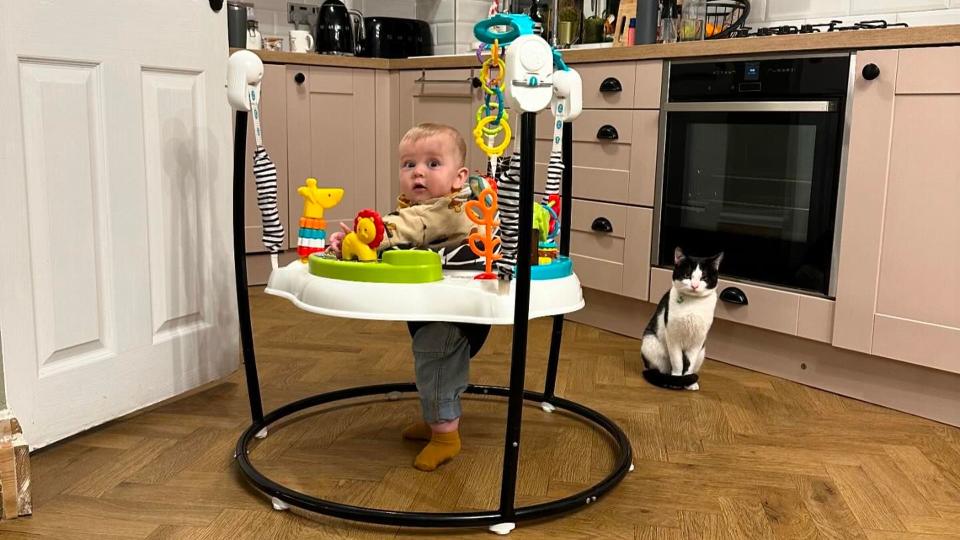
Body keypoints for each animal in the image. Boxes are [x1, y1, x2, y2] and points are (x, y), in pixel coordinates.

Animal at [640, 247, 724, 390]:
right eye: (687, 275)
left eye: (704, 277)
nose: (695, 285)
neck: (693, 305)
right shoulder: (673, 337)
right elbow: (678, 362)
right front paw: (677, 380)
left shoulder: (697, 341)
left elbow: (689, 364)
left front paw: (688, 382)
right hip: (650, 344)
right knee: (662, 369)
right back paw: (669, 379)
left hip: (702, 352)